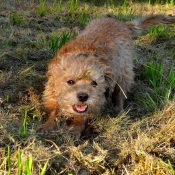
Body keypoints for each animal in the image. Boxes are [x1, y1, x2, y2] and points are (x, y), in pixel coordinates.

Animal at [39, 14, 175, 137]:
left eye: (94, 83)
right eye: (70, 82)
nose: (83, 96)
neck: (83, 55)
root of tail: (123, 24)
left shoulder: (97, 101)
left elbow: (82, 117)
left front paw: (74, 130)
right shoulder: (50, 90)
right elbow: (53, 110)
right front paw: (48, 126)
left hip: (124, 74)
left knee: (120, 95)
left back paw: (119, 112)